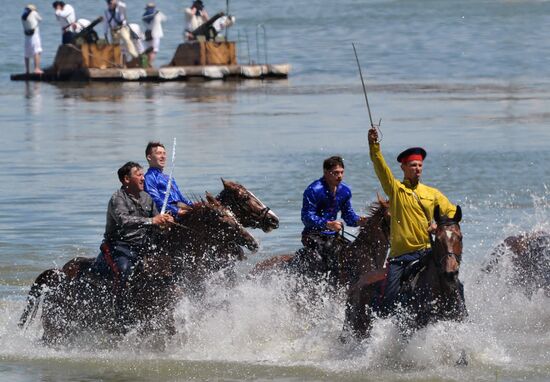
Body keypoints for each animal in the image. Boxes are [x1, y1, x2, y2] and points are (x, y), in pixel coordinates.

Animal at [17, 197, 258, 346]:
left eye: (233, 214)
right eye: (221, 217)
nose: (252, 242)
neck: (168, 263)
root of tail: (58, 277)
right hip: (57, 330)